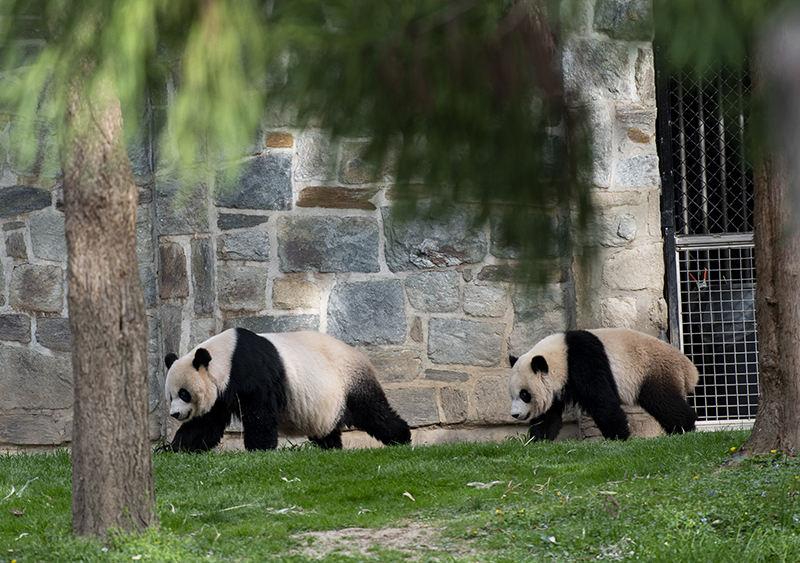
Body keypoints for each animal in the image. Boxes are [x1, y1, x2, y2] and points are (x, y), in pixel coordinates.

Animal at [162, 328, 412, 452]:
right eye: (171, 395)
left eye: (184, 393)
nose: (175, 414)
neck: (224, 358)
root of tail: (363, 356)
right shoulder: (220, 394)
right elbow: (204, 425)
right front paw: (171, 449)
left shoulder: (251, 371)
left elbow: (260, 413)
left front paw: (259, 450)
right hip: (325, 400)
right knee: (327, 428)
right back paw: (331, 447)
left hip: (348, 381)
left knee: (373, 412)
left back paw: (402, 438)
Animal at [510, 328, 696, 442]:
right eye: (512, 395)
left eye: (524, 394)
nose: (515, 414)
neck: (562, 356)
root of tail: (689, 369)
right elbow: (548, 416)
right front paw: (536, 440)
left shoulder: (585, 362)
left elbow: (603, 402)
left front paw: (619, 437)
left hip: (654, 371)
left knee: (664, 402)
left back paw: (685, 427)